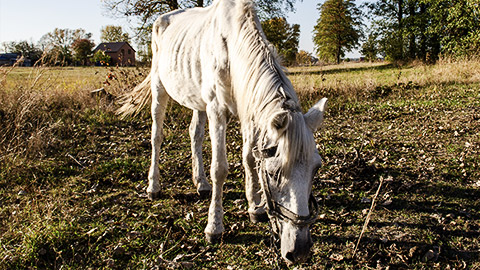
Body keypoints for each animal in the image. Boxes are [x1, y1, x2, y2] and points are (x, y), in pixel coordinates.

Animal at [119, 0, 328, 264]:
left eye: (316, 168)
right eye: (273, 173)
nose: (299, 250)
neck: (232, 47)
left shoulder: (249, 111)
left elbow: (249, 159)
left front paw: (255, 208)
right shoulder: (217, 110)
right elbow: (220, 169)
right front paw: (214, 228)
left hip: (197, 101)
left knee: (195, 135)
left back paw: (201, 184)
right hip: (160, 89)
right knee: (157, 136)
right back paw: (153, 187)